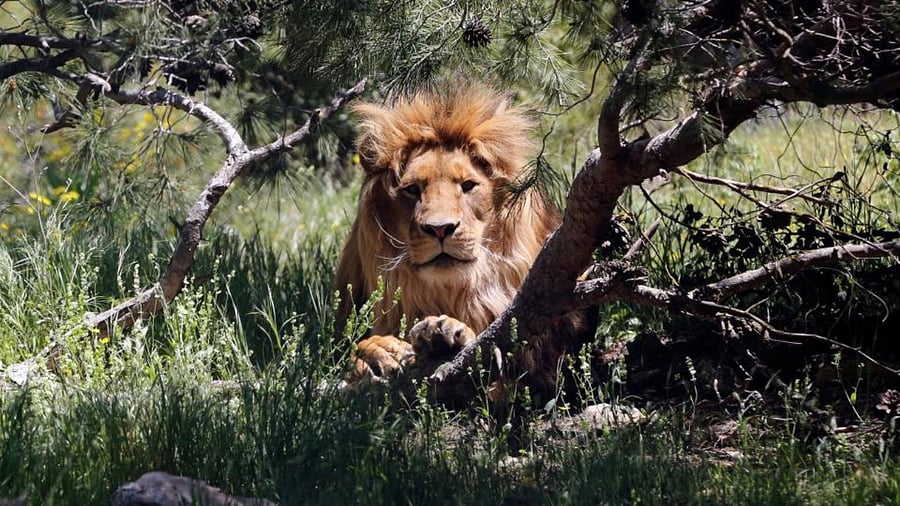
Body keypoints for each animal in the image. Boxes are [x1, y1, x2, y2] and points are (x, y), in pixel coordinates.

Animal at [336, 82, 590, 397]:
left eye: (468, 186)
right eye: (412, 189)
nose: (440, 228)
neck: (451, 292)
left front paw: (444, 333)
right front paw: (379, 352)